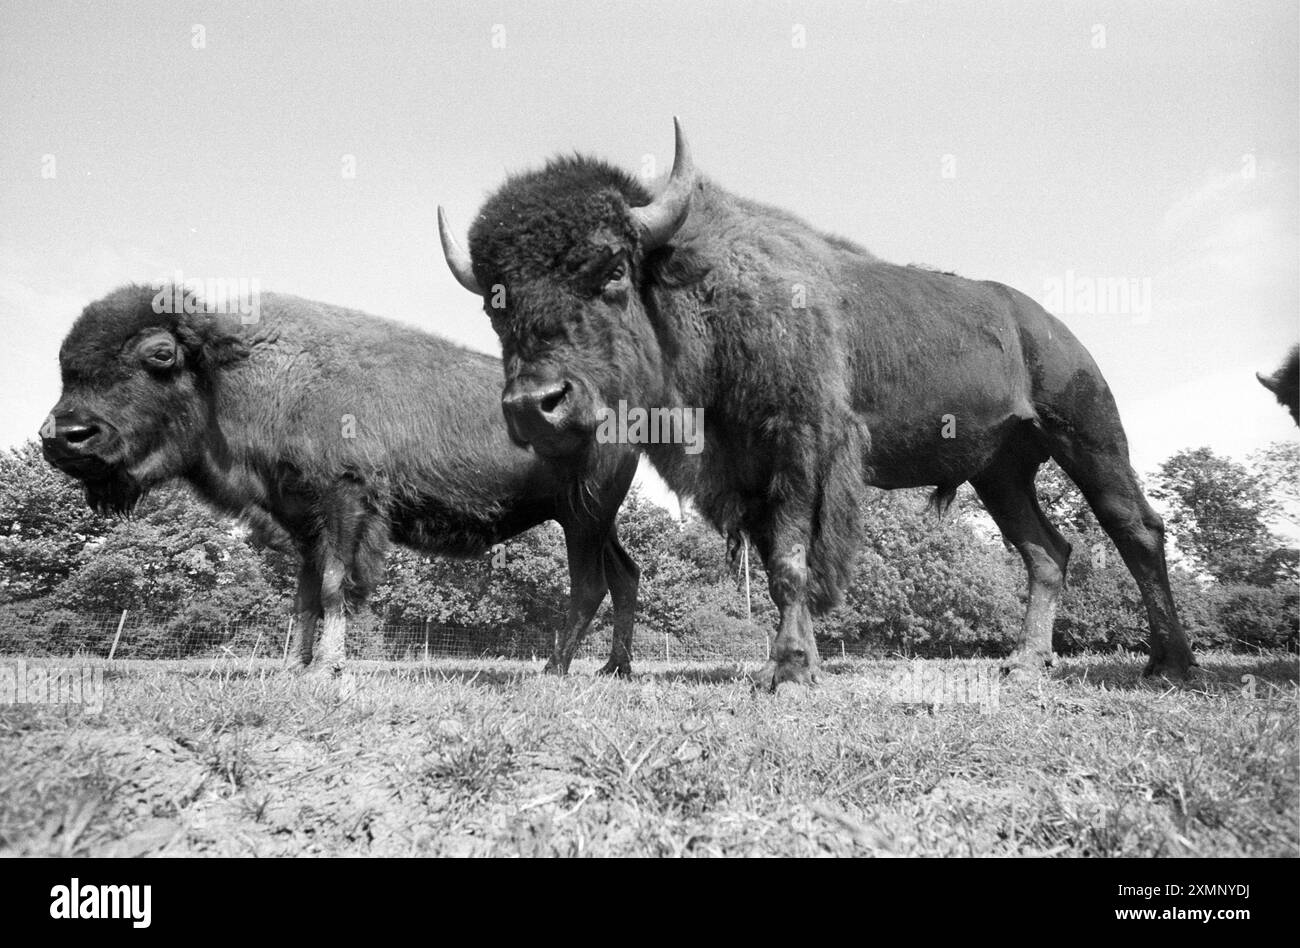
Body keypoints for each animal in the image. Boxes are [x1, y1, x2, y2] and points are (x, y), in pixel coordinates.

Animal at [41, 285, 640, 675]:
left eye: (160, 355)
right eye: (65, 367)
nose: (63, 436)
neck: (242, 377)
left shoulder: (345, 500)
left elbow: (335, 587)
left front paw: (328, 667)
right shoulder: (301, 520)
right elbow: (305, 594)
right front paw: (296, 667)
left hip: (582, 515)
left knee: (589, 586)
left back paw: (555, 670)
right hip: (594, 518)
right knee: (625, 576)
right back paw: (614, 670)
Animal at [439, 119, 1198, 687]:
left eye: (613, 271)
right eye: (496, 304)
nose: (536, 404)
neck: (701, 290)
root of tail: (1044, 324)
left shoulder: (800, 450)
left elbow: (791, 560)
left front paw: (791, 670)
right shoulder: (746, 472)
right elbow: (777, 561)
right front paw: (792, 662)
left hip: (1088, 436)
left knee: (1135, 529)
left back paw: (1170, 664)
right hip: (1002, 469)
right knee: (1046, 551)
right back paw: (1025, 662)